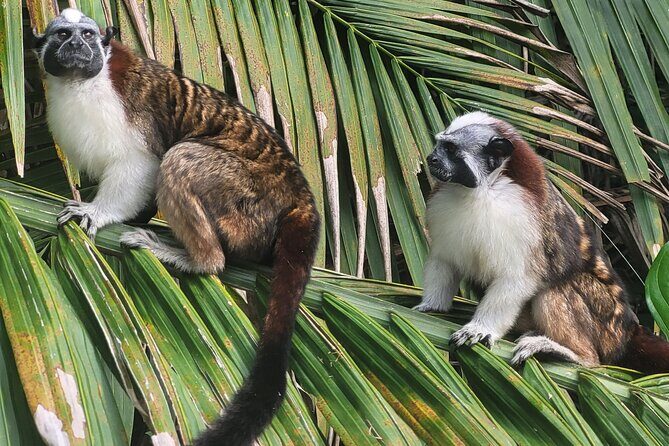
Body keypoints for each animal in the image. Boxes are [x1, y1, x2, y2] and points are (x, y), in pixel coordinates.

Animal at [34, 9, 320, 445]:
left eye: (87, 35)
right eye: (63, 36)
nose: (78, 46)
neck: (81, 84)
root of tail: (298, 193)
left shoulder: (122, 112)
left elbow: (140, 164)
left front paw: (97, 212)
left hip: (248, 205)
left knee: (179, 157)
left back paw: (198, 259)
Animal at [414, 111, 669, 373]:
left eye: (451, 149)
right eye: (439, 145)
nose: (432, 159)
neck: (484, 191)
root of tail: (627, 331)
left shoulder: (521, 220)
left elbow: (517, 279)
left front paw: (481, 328)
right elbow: (444, 260)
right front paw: (431, 306)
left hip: (605, 326)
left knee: (557, 286)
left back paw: (576, 355)